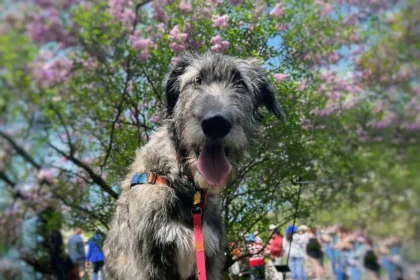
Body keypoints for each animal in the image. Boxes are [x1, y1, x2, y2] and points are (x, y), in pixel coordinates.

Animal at [103, 53, 284, 280]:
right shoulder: (146, 264)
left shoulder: (211, 262)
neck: (188, 190)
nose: (216, 123)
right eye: (196, 80)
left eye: (241, 83)